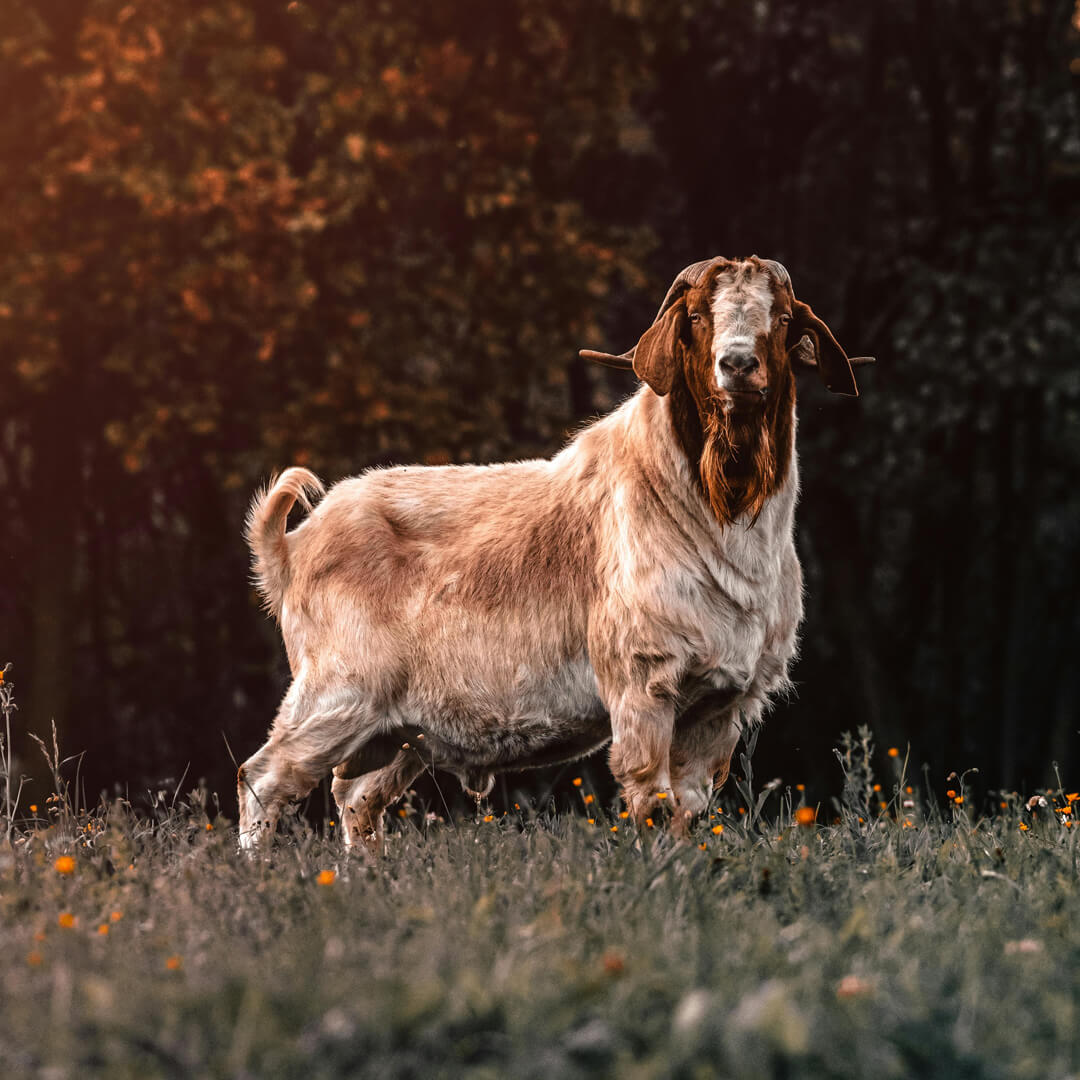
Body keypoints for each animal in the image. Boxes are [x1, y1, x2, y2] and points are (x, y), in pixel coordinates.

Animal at [236, 257, 868, 846]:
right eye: (694, 317)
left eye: (781, 318)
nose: (737, 365)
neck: (717, 519)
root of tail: (289, 548)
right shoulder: (642, 685)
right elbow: (652, 802)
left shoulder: (718, 707)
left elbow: (688, 809)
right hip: (336, 693)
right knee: (264, 779)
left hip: (394, 731)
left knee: (357, 801)